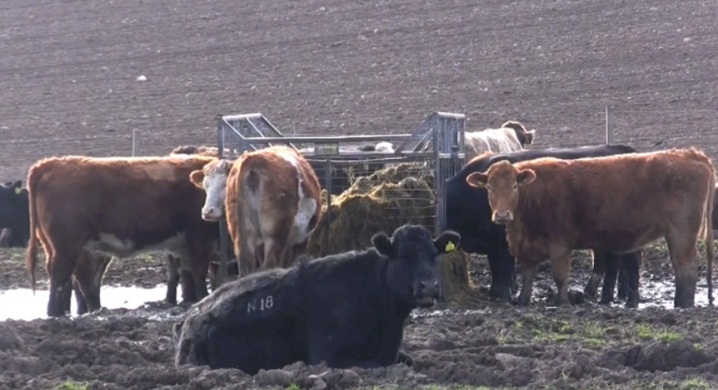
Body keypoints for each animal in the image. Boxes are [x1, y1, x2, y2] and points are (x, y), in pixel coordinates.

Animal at [26, 154, 219, 316]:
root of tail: (53, 162)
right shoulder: (201, 238)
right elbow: (200, 273)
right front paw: (204, 298)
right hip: (67, 245)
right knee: (62, 273)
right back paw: (56, 313)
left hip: (67, 246)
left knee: (82, 276)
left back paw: (88, 310)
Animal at [194, 145, 324, 278]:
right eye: (205, 185)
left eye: (224, 184)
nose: (207, 211)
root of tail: (252, 160)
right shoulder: (301, 238)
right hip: (275, 233)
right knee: (270, 265)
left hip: (243, 235)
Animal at [448, 145, 644, 306]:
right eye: (488, 187)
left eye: (514, 186)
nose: (502, 215)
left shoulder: (503, 244)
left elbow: (503, 269)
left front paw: (504, 296)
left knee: (623, 260)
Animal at [466, 148, 716, 310]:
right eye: (489, 187)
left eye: (515, 186)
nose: (502, 215)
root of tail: (690, 153)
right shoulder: (528, 249)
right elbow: (527, 278)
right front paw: (523, 303)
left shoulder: (560, 244)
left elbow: (560, 276)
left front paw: (563, 304)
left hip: (682, 232)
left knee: (686, 266)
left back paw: (683, 305)